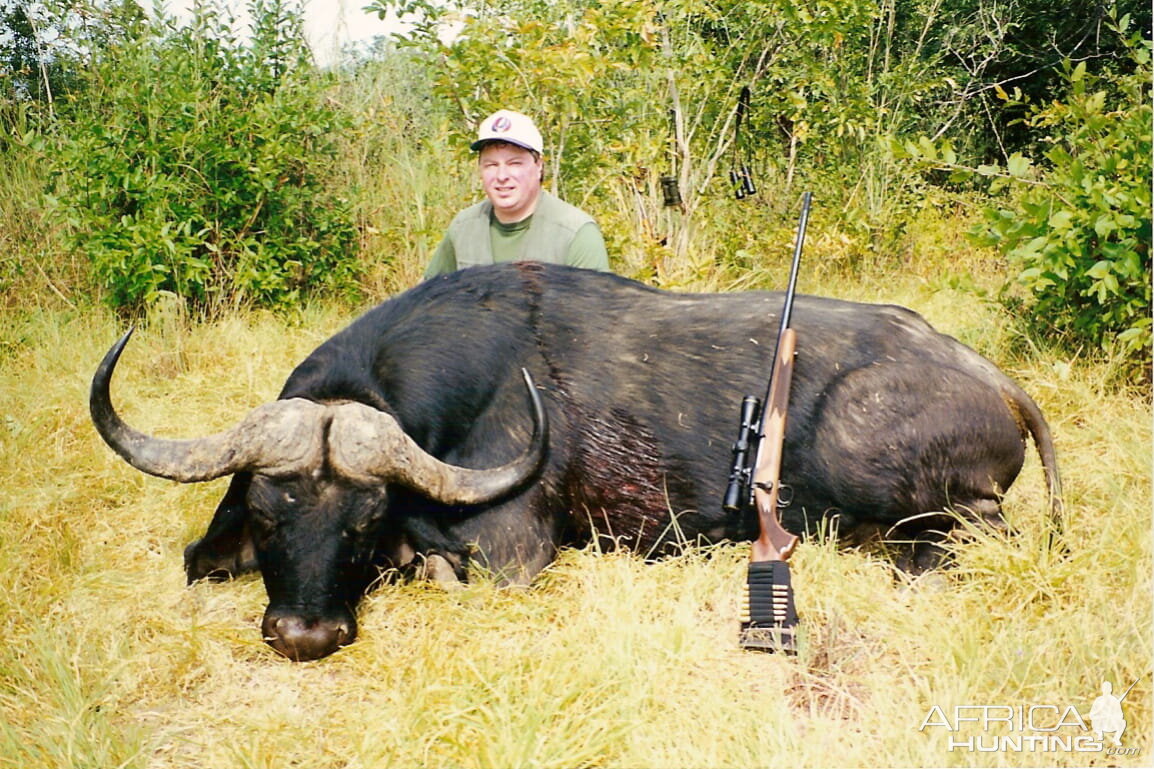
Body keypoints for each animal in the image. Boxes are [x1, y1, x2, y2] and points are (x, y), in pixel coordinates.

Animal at [90, 260, 1061, 655]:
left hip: (892, 472)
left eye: (362, 521)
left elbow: (442, 563)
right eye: (265, 513)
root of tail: (989, 374)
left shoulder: (512, 555)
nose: (306, 635)